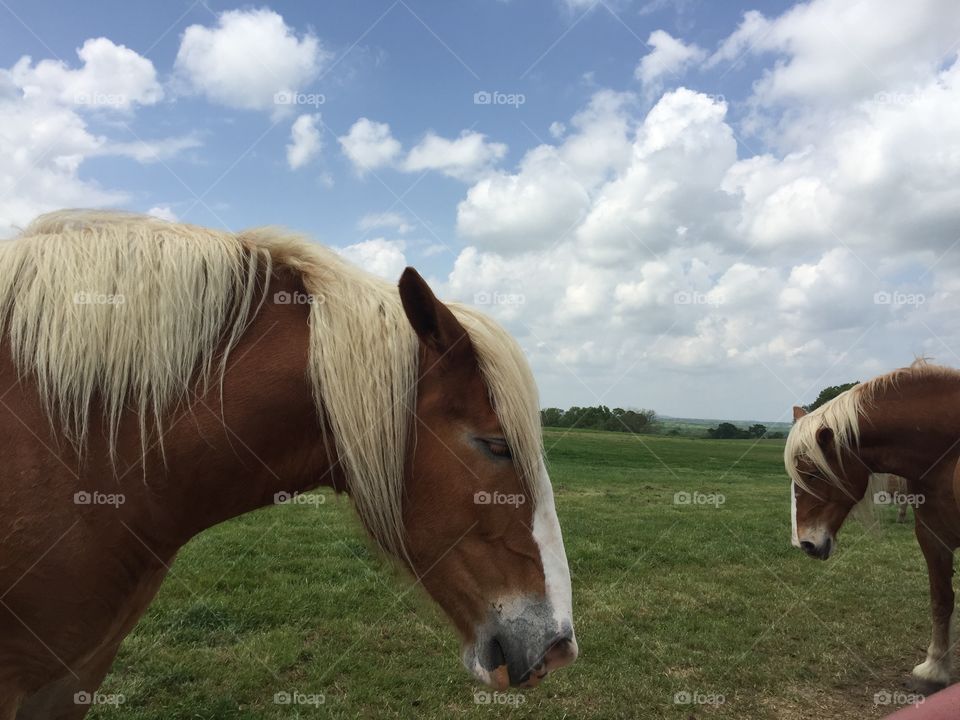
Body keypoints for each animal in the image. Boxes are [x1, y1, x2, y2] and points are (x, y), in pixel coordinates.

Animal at [784, 362, 960, 696]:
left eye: (813, 474)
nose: (804, 544)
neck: (949, 453)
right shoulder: (932, 534)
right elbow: (941, 598)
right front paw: (933, 671)